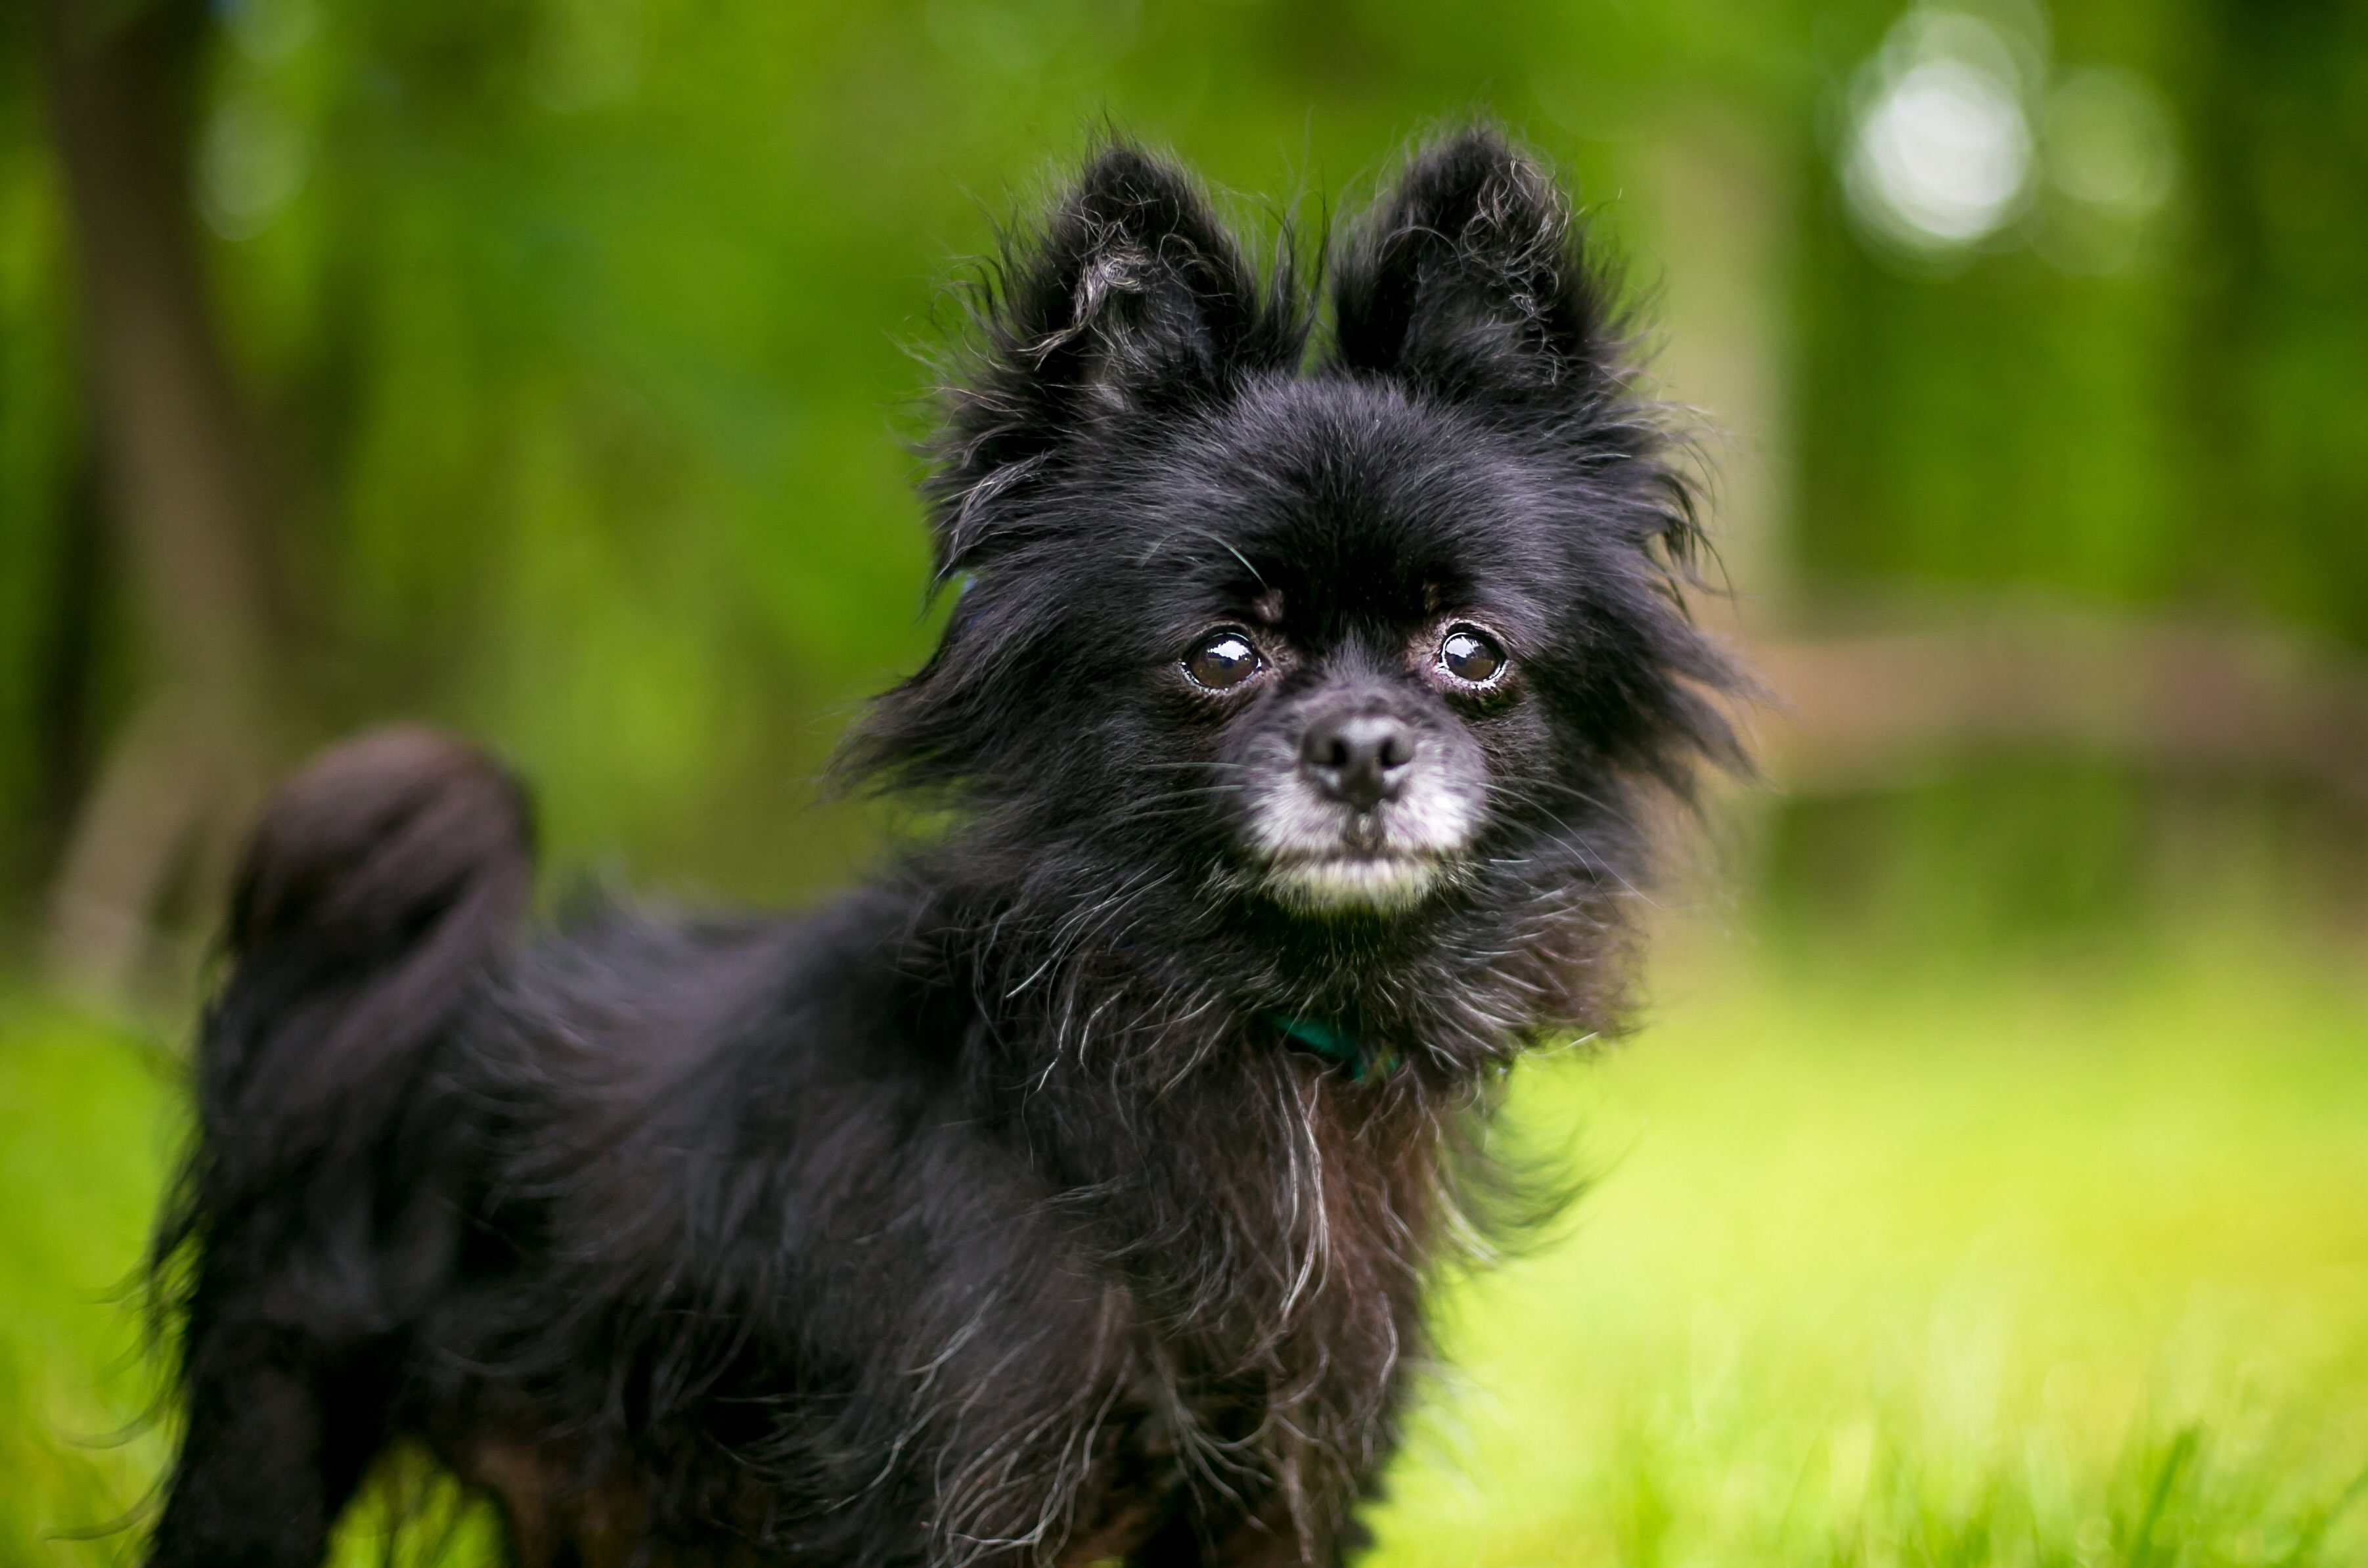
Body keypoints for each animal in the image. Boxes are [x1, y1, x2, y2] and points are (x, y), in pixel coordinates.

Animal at [148, 129, 1743, 1563]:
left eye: (1468, 650)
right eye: (1221, 655)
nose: (1361, 745)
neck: (1236, 1033)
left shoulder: (1287, 1497)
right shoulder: (957, 1485)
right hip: (275, 1417)